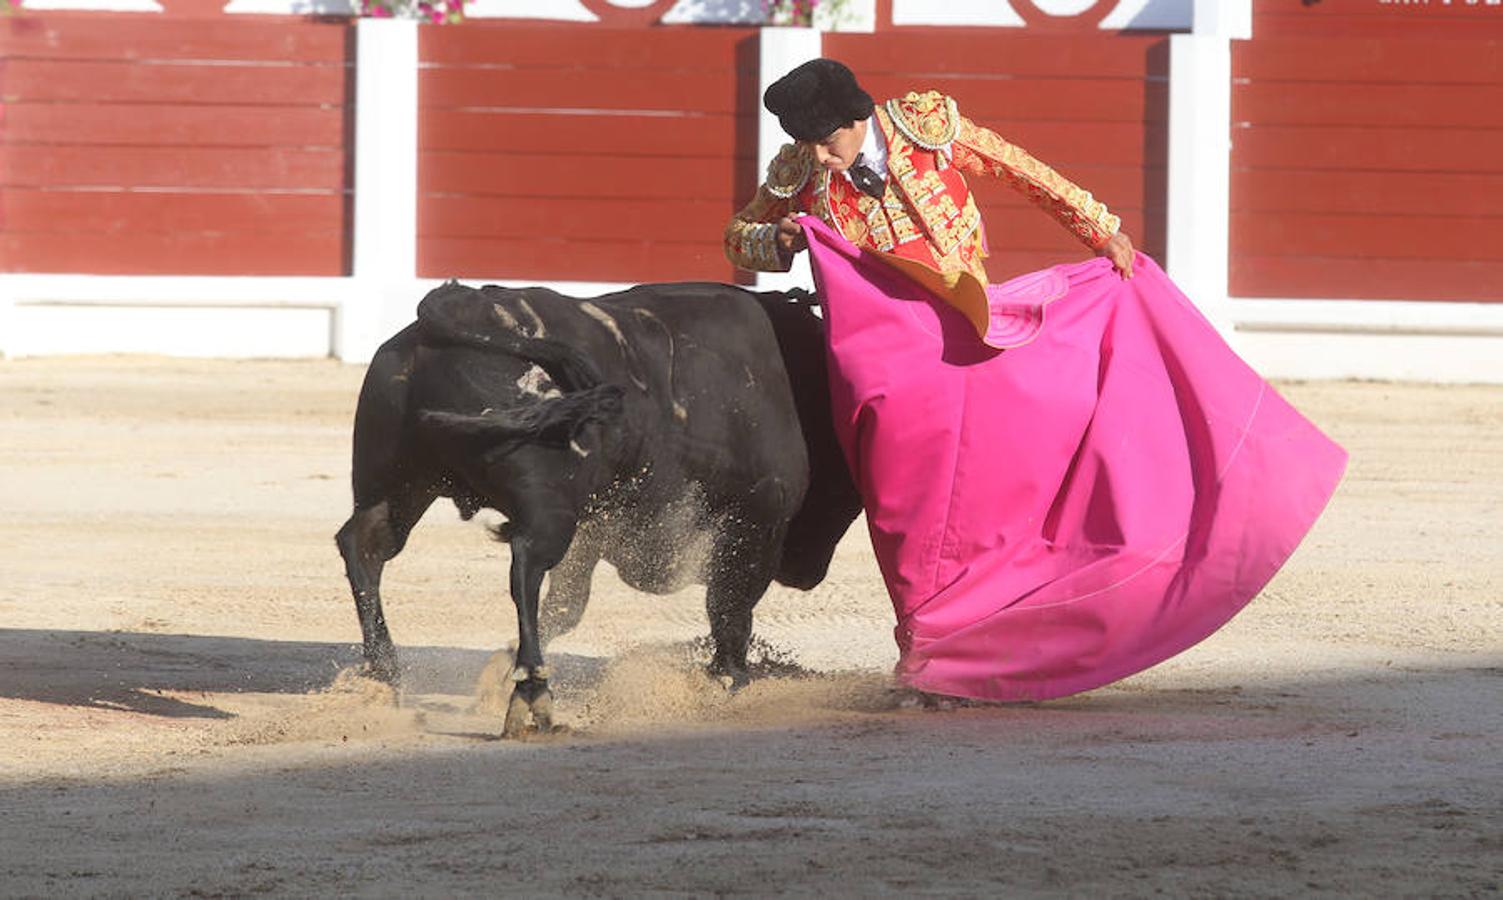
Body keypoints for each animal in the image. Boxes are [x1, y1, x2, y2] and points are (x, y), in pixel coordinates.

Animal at [335, 283, 865, 739]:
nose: (808, 573)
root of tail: (460, 309)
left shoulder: (595, 529)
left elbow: (567, 606)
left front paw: (499, 668)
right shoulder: (756, 523)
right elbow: (731, 608)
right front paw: (731, 678)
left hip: (398, 484)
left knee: (364, 546)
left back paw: (383, 674)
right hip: (547, 506)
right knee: (525, 564)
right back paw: (533, 694)